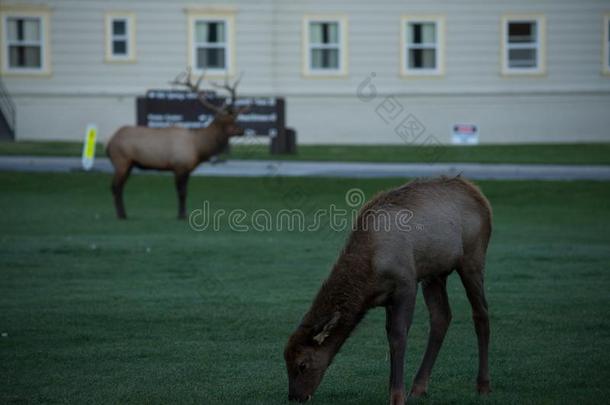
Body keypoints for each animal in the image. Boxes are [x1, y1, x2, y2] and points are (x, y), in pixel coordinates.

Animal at [105, 70, 246, 219]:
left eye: (236, 119)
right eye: (230, 121)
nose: (242, 130)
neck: (198, 147)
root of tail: (110, 143)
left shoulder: (187, 169)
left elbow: (185, 192)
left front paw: (183, 214)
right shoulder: (179, 166)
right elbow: (181, 193)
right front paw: (182, 215)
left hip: (129, 164)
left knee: (120, 187)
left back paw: (124, 214)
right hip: (121, 161)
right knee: (115, 187)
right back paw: (121, 215)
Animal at [282, 177, 492, 404]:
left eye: (302, 365)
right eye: (286, 362)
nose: (295, 396)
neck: (368, 277)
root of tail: (479, 195)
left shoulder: (406, 284)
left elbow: (398, 336)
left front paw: (397, 396)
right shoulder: (388, 298)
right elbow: (390, 336)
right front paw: (393, 388)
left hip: (472, 259)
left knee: (481, 313)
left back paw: (483, 385)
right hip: (434, 273)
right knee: (441, 316)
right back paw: (419, 387)